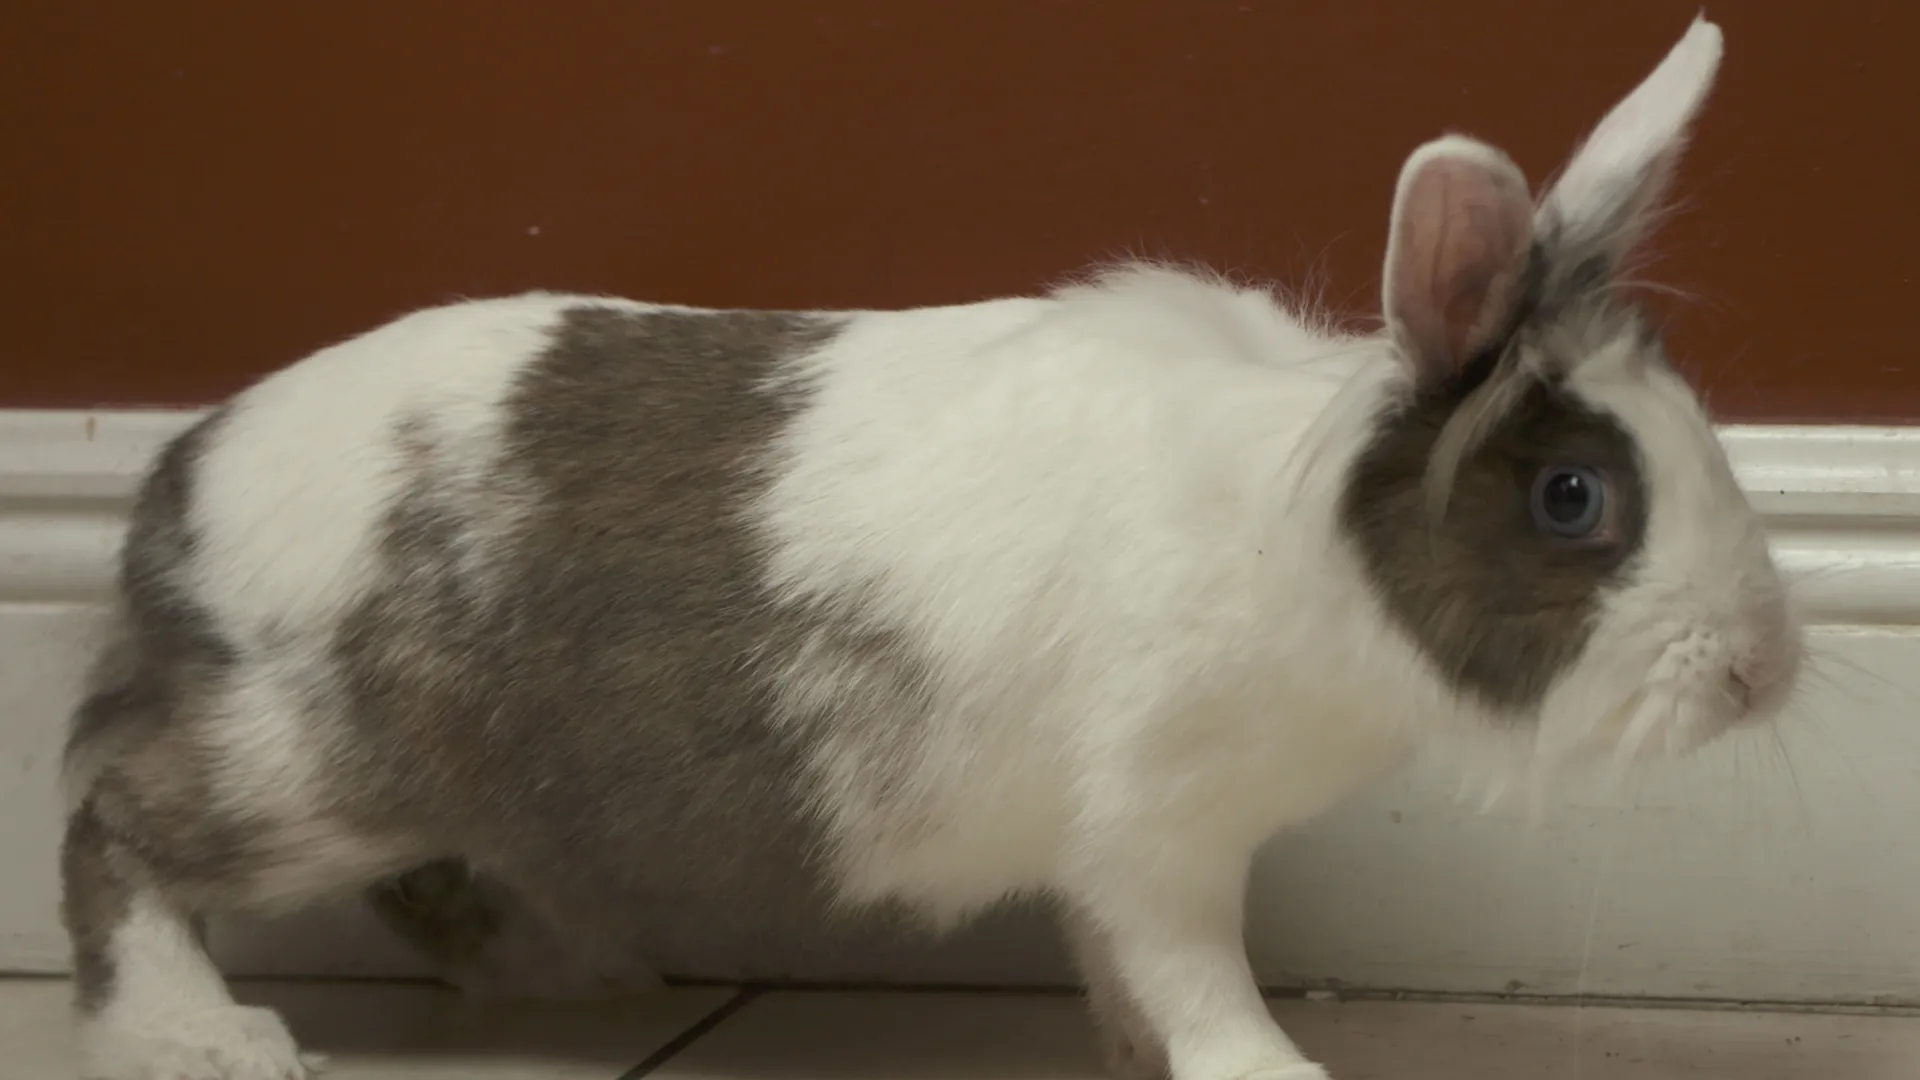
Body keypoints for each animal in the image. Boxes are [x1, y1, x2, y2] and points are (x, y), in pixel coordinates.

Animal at [58, 15, 1793, 1080]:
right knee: (116, 834)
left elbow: (1121, 973)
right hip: (304, 764)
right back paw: (206, 1040)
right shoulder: (1157, 830)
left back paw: (568, 976)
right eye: (1574, 499)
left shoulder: (1115, 855)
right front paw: (1271, 1066)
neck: (1298, 536)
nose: (1764, 671)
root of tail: (179, 477)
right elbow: (1191, 966)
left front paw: (1135, 1059)